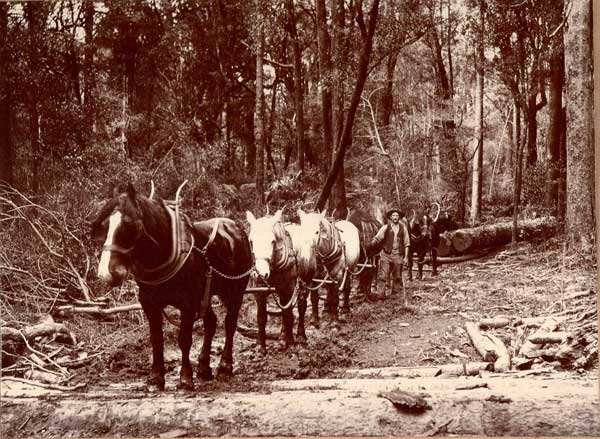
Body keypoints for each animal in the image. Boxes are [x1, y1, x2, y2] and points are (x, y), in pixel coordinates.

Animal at [91, 183, 253, 392]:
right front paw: (156, 377)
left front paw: (185, 378)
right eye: (104, 227)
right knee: (211, 322)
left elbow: (184, 339)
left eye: (130, 226)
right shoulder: (150, 304)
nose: (106, 273)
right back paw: (203, 367)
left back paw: (225, 366)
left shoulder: (188, 304)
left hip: (234, 291)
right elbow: (156, 339)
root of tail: (236, 229)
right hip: (206, 295)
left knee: (230, 323)